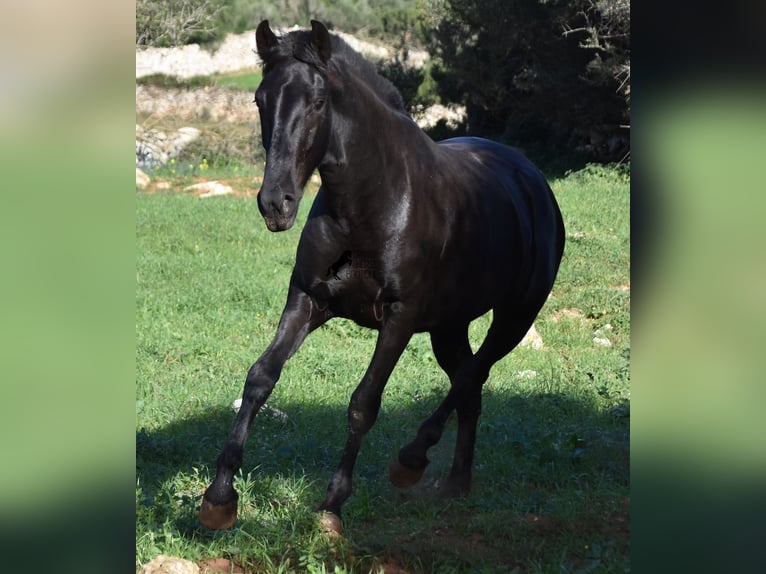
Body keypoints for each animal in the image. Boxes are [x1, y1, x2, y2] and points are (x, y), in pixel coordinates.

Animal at [201, 21, 568, 536]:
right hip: (448, 326)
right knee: (470, 388)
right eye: (259, 99)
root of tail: (533, 180)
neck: (375, 201)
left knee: (474, 374)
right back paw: (455, 484)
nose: (276, 203)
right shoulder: (307, 300)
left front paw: (332, 505)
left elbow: (363, 403)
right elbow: (260, 378)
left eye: (318, 101)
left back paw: (412, 460)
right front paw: (219, 497)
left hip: (514, 317)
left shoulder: (399, 318)